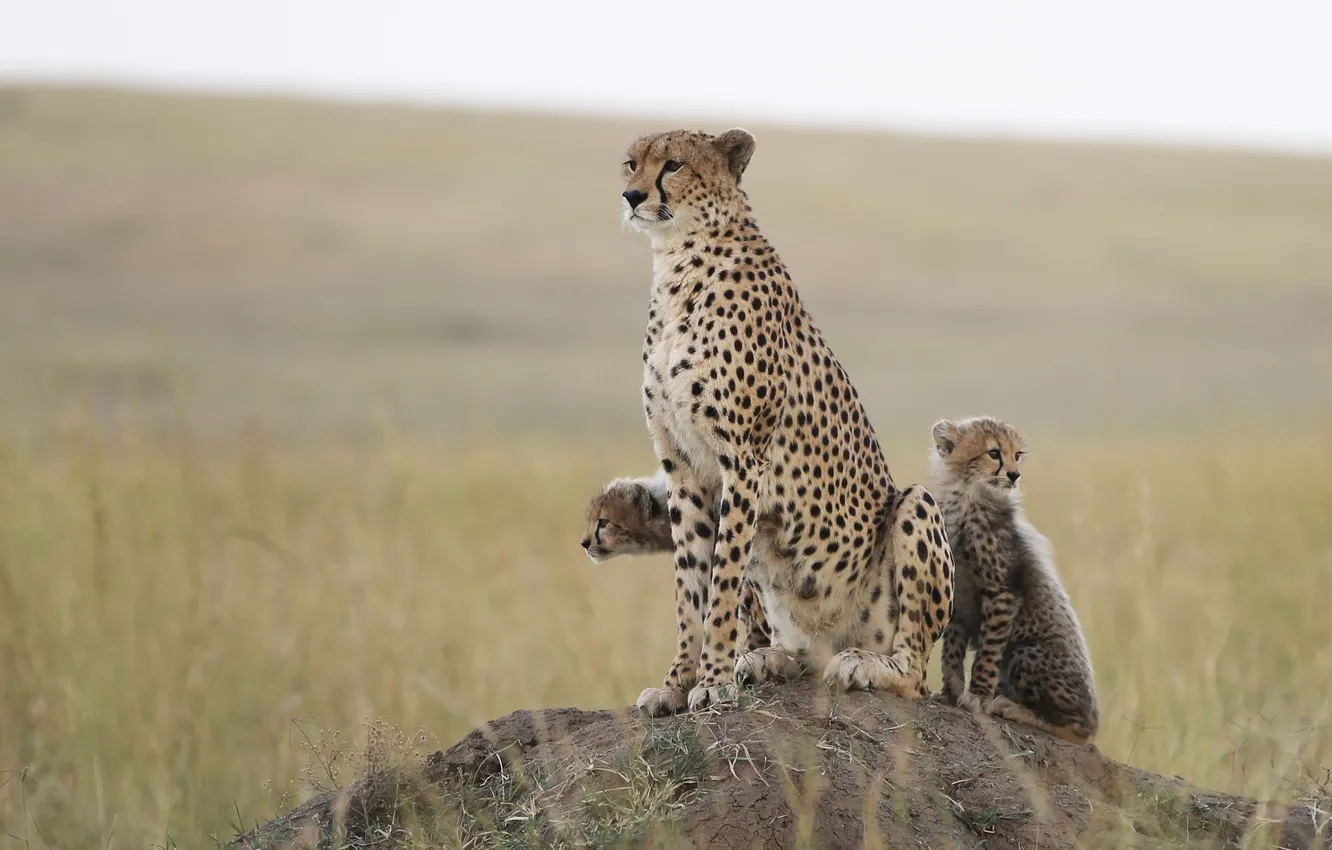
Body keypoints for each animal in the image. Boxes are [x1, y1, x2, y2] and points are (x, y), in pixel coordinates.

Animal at [619, 126, 955, 715]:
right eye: (630, 163)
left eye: (674, 165)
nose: (633, 196)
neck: (679, 261)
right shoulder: (682, 466)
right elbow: (689, 587)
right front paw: (676, 682)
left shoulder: (742, 461)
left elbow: (722, 582)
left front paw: (711, 681)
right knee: (799, 651)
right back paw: (767, 660)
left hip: (915, 508)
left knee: (913, 673)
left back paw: (863, 665)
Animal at [931, 416, 1099, 744]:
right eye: (994, 453)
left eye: (1017, 455)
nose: (1014, 474)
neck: (967, 497)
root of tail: (1095, 718)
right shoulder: (961, 596)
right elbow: (952, 649)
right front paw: (950, 692)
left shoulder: (1002, 592)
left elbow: (987, 651)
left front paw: (978, 696)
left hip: (1025, 653)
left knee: (1076, 729)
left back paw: (1014, 709)